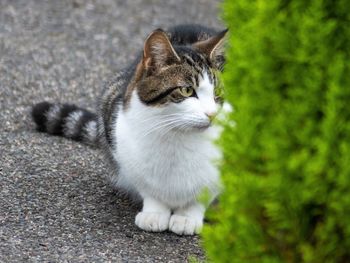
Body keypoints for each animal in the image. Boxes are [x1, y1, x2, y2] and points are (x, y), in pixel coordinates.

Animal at [32, 24, 228, 235]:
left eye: (217, 93)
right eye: (187, 90)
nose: (212, 114)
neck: (177, 136)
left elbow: (202, 195)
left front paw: (187, 216)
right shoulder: (123, 147)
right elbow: (150, 190)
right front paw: (154, 213)